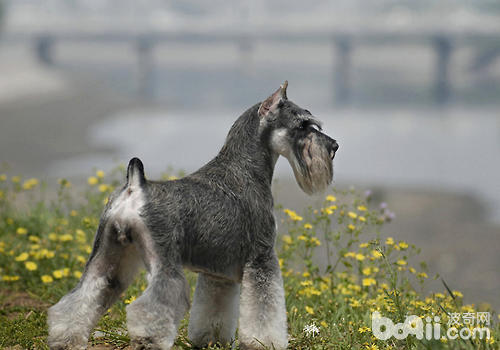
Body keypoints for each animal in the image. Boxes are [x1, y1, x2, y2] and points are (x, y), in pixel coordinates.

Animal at [47, 80, 340, 348]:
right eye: (302, 125)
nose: (334, 146)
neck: (245, 168)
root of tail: (134, 186)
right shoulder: (262, 257)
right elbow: (264, 308)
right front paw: (265, 342)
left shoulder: (217, 274)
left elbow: (214, 310)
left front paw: (210, 340)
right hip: (164, 264)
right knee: (151, 306)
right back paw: (148, 339)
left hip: (107, 257)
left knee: (80, 298)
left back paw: (66, 338)